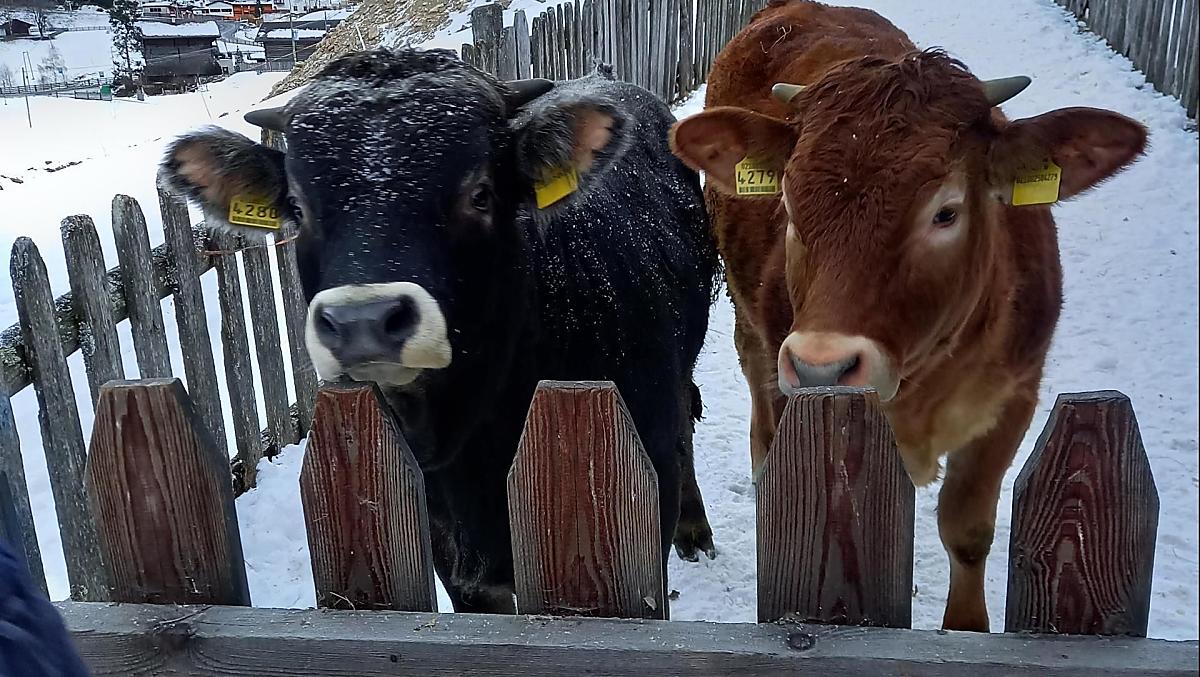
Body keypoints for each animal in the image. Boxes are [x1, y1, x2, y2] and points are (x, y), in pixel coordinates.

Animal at [669, 0, 1147, 631]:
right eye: (788, 203)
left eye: (946, 212)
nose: (822, 367)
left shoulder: (1014, 398)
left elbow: (966, 530)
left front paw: (965, 627)